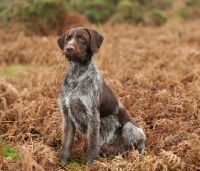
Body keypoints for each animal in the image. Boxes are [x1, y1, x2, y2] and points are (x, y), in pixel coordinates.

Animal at [57, 27, 146, 165]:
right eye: (68, 38)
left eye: (82, 38)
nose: (69, 48)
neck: (76, 76)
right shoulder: (67, 118)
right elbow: (66, 146)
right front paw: (62, 164)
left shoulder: (93, 117)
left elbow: (92, 145)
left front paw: (91, 165)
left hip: (130, 128)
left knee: (136, 150)